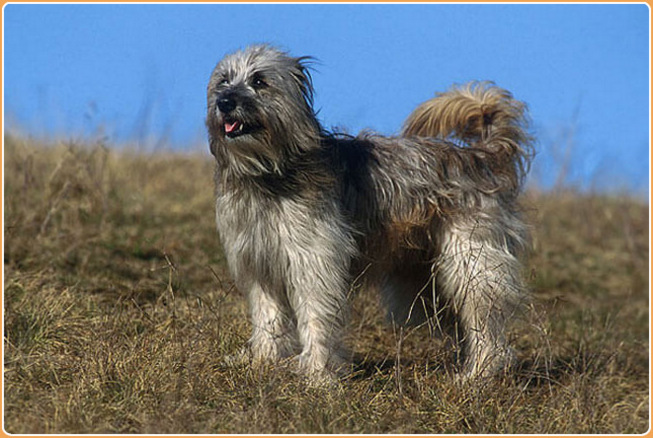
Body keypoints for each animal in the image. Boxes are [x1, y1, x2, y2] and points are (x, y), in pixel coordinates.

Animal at [206, 43, 532, 380]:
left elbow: (316, 316)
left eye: (259, 81)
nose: (225, 102)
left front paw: (318, 373)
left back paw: (478, 373)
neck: (270, 170)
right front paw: (262, 360)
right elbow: (267, 316)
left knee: (486, 322)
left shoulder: (314, 263)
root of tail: (480, 155)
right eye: (223, 80)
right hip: (424, 280)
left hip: (470, 265)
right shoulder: (260, 264)